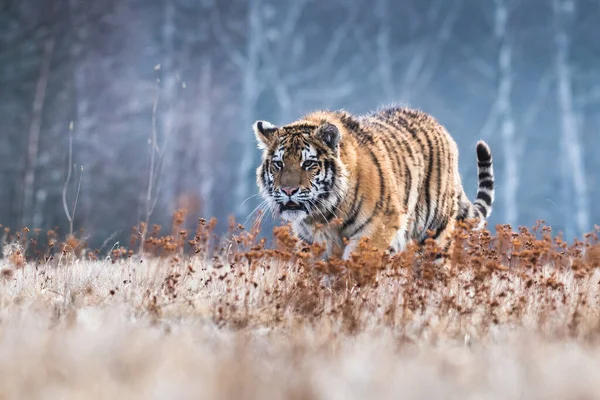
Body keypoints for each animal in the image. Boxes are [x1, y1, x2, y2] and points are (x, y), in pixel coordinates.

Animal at [251, 105, 494, 260]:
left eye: (308, 163)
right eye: (279, 164)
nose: (288, 190)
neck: (322, 214)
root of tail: (441, 129)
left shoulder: (379, 228)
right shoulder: (310, 241)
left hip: (435, 233)